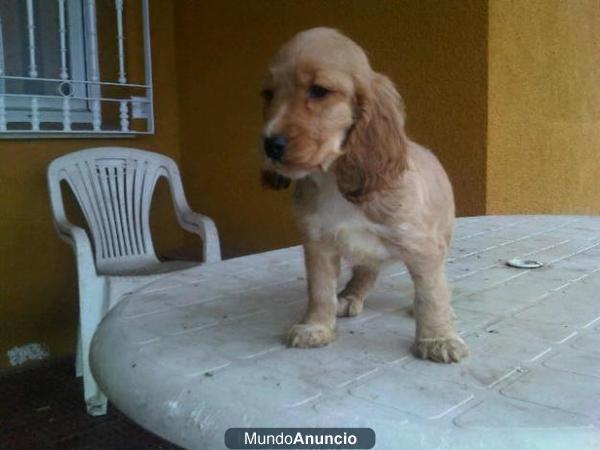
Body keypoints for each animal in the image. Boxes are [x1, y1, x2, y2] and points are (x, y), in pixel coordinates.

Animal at [260, 27, 466, 362]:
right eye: (268, 94)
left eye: (319, 91)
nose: (270, 145)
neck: (333, 180)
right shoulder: (317, 243)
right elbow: (319, 291)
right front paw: (315, 327)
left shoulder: (421, 245)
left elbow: (431, 293)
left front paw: (438, 338)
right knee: (366, 270)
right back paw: (349, 295)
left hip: (442, 237)